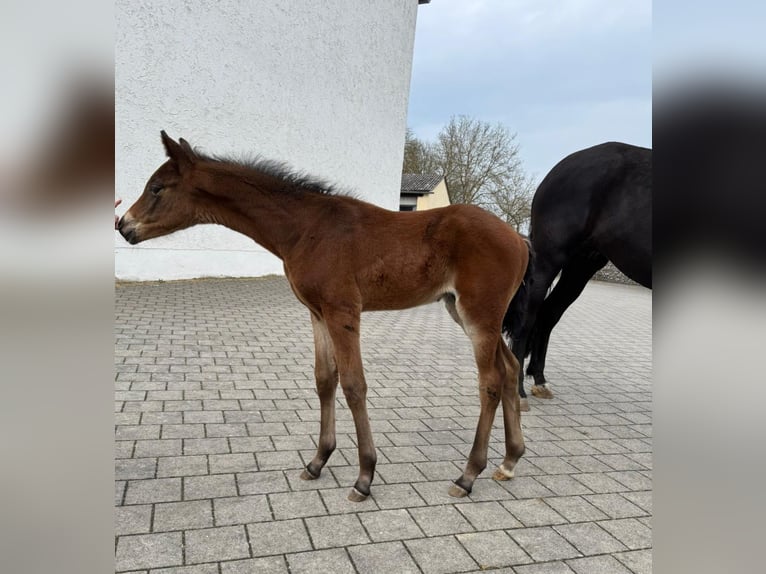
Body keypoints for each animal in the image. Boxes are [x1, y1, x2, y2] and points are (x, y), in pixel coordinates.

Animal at [118, 131, 533, 501]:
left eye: (157, 188)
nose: (124, 226)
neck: (305, 228)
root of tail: (518, 238)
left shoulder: (342, 311)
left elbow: (353, 385)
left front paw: (364, 477)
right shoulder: (317, 314)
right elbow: (324, 380)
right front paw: (317, 461)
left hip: (478, 314)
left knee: (490, 381)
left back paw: (468, 475)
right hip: (463, 311)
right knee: (511, 368)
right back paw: (510, 461)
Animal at [505, 142, 651, 410]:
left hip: (580, 267)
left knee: (549, 314)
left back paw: (539, 380)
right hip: (550, 261)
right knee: (528, 319)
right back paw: (518, 392)